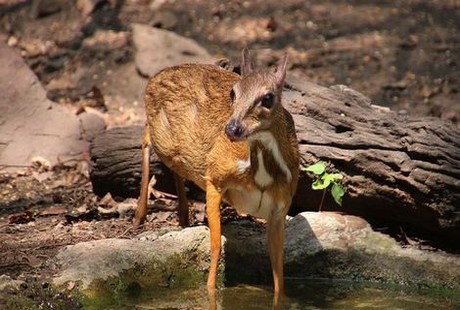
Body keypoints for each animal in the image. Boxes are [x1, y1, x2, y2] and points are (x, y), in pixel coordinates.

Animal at [131, 48, 300, 298]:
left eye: (268, 98)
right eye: (233, 92)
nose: (232, 129)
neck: (260, 175)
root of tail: (154, 78)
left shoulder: (281, 207)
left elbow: (278, 261)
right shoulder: (214, 178)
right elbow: (215, 245)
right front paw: (211, 291)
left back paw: (183, 216)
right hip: (163, 137)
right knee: (146, 137)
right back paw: (138, 218)